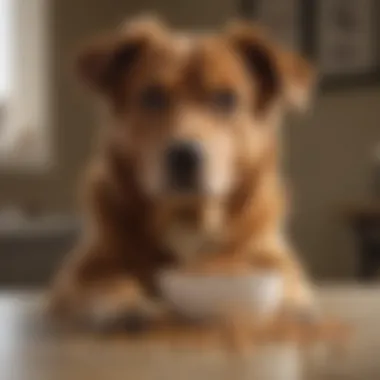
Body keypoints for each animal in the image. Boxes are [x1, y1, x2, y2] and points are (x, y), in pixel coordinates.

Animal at [49, 14, 318, 330]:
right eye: (152, 96)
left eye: (226, 99)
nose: (184, 156)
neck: (188, 215)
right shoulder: (77, 275)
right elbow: (108, 280)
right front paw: (125, 302)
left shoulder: (276, 261)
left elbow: (287, 282)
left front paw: (293, 307)